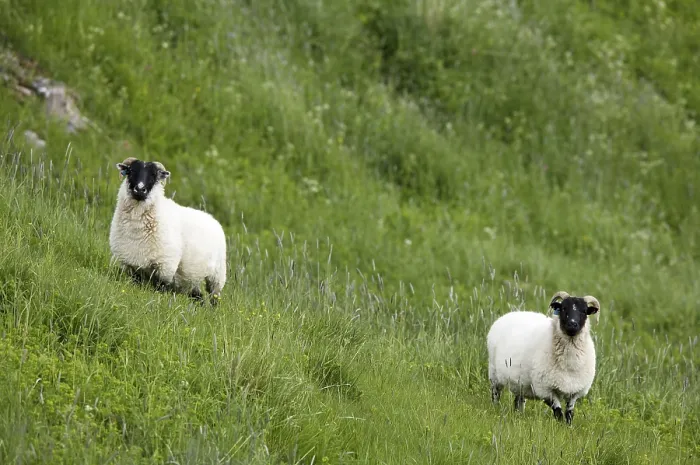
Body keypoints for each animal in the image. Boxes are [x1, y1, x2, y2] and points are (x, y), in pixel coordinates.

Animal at [109, 157, 227, 305]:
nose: (140, 189)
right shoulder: (131, 266)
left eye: (153, 175)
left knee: (214, 298)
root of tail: (212, 218)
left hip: (217, 277)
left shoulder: (165, 268)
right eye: (131, 172)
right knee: (198, 296)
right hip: (193, 279)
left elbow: (160, 289)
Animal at [486, 291, 601, 425]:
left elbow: (569, 414)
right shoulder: (545, 389)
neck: (569, 364)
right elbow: (558, 412)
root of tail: (511, 313)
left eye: (584, 311)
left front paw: (568, 427)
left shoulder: (575, 391)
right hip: (494, 374)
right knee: (495, 394)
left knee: (519, 400)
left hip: (520, 382)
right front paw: (560, 427)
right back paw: (496, 409)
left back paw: (519, 414)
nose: (572, 324)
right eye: (563, 308)